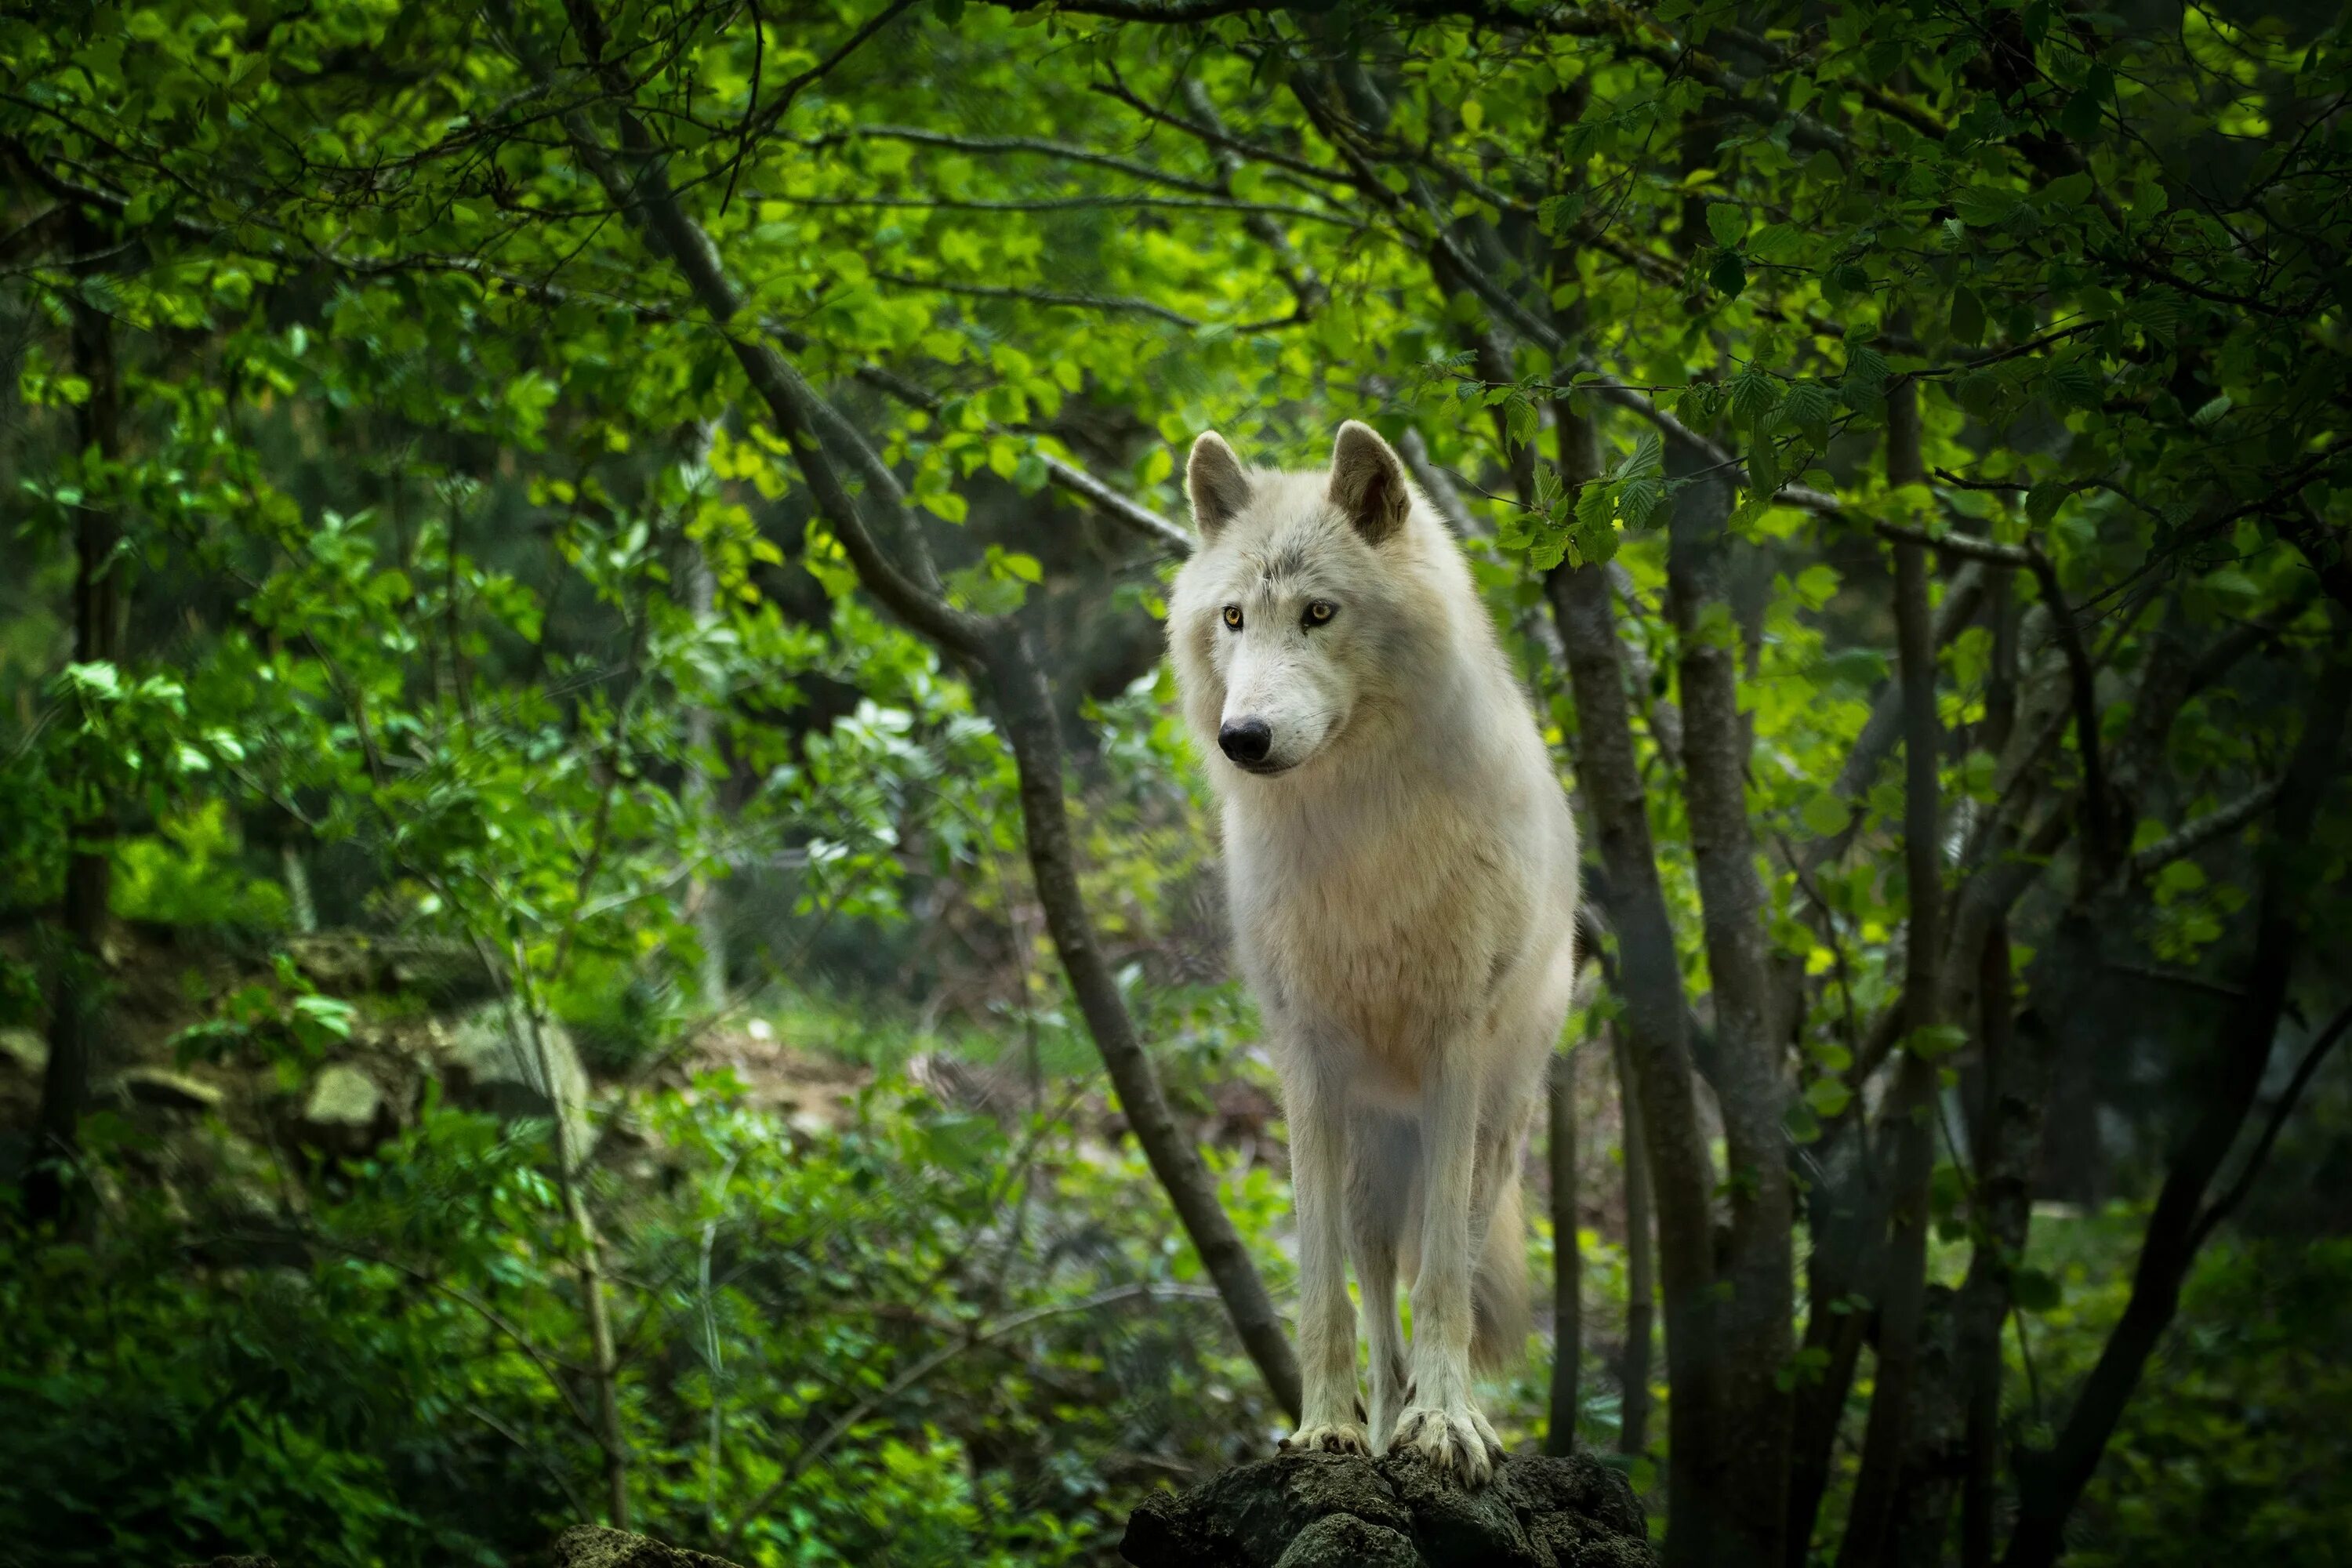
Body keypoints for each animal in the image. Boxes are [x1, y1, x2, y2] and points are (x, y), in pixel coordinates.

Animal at [1162, 420, 1581, 1486]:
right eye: (1234, 617)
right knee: (1379, 1300)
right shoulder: (1306, 1060)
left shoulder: (1452, 1047)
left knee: (1444, 1267)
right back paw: (1385, 1425)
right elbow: (1321, 1290)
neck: (1359, 833)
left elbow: (1443, 1288)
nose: (1243, 736)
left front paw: (1451, 1430)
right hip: (1367, 1168)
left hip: (1487, 1136)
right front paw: (1325, 1429)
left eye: (1319, 613)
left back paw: (1443, 1416)